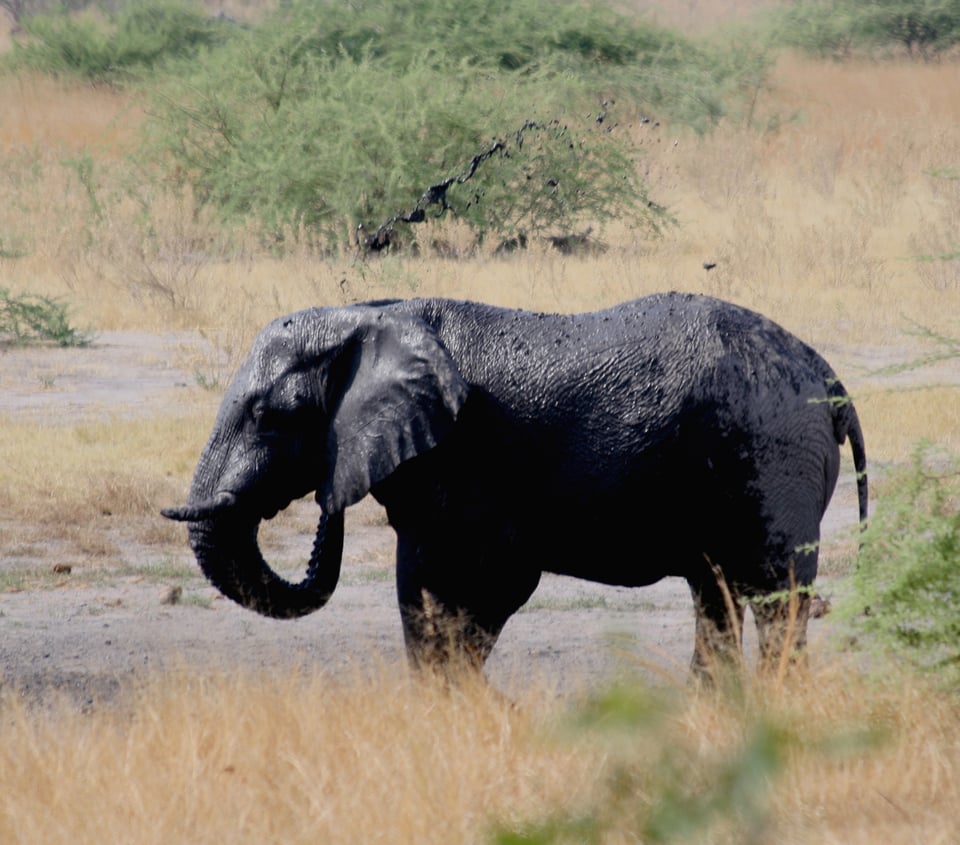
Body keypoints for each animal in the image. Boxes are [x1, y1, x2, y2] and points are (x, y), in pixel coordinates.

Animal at [163, 293, 868, 678]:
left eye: (268, 415)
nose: (321, 509)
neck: (369, 315)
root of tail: (826, 372)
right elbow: (420, 590)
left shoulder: (467, 456)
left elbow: (489, 582)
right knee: (714, 594)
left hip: (774, 455)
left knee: (777, 596)